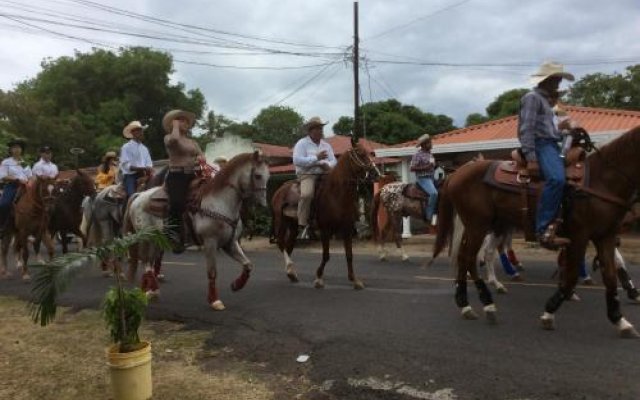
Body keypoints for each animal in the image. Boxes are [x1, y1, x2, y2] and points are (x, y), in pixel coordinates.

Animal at [124, 152, 268, 310]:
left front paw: (236, 285)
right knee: (145, 262)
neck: (220, 202)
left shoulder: (230, 243)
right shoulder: (210, 242)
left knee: (149, 261)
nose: (263, 205)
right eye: (258, 176)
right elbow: (212, 272)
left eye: (268, 176)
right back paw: (149, 289)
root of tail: (139, 195)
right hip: (146, 238)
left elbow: (248, 264)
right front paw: (214, 300)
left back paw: (149, 290)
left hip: (157, 240)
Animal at [270, 142, 380, 290]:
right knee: (281, 243)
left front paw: (355, 280)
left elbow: (349, 255)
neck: (336, 194)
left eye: (370, 153)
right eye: (360, 153)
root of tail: (280, 190)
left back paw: (291, 273)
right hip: (280, 222)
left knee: (289, 246)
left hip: (292, 226)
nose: (376, 173)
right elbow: (326, 255)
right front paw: (318, 278)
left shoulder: (347, 229)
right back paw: (290, 267)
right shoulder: (325, 230)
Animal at [432, 126, 640, 338]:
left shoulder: (605, 236)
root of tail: (457, 174)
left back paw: (469, 303)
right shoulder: (579, 235)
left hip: (487, 226)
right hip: (478, 226)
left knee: (468, 257)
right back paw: (485, 304)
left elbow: (611, 276)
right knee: (469, 258)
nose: (632, 219)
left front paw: (620, 319)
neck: (602, 180)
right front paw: (549, 312)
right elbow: (572, 275)